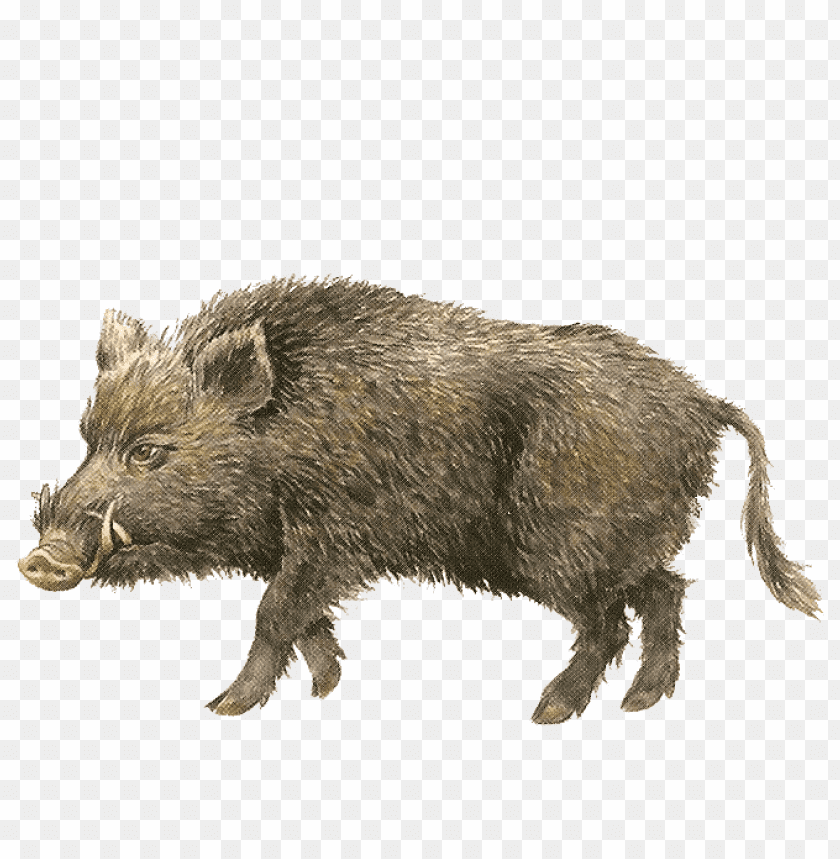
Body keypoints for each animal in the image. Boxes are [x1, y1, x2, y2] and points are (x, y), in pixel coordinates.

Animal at [18, 276, 821, 722]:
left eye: (149, 451)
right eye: (88, 438)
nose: (38, 560)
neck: (282, 439)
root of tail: (703, 402)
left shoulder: (333, 537)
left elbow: (275, 613)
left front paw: (223, 707)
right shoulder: (293, 549)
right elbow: (303, 620)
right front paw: (326, 689)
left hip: (561, 548)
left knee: (610, 620)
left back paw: (549, 712)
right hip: (608, 549)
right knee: (666, 589)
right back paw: (640, 702)